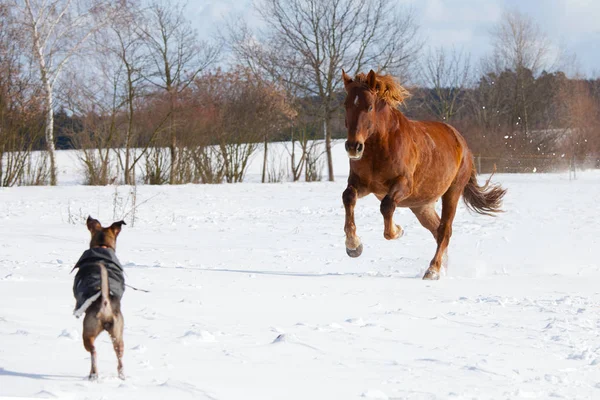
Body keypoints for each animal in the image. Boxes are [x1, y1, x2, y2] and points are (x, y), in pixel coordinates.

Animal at [74, 217, 127, 380]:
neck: (102, 247)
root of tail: (105, 303)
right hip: (118, 333)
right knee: (120, 357)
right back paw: (122, 376)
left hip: (88, 332)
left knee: (93, 352)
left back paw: (93, 374)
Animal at [342, 69, 506, 282]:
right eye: (346, 105)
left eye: (369, 106)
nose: (353, 147)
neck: (381, 146)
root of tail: (463, 145)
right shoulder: (361, 183)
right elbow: (348, 197)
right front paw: (353, 246)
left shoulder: (403, 185)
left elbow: (387, 206)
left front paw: (398, 231)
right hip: (422, 205)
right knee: (437, 230)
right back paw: (441, 267)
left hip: (451, 192)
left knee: (444, 230)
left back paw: (433, 270)